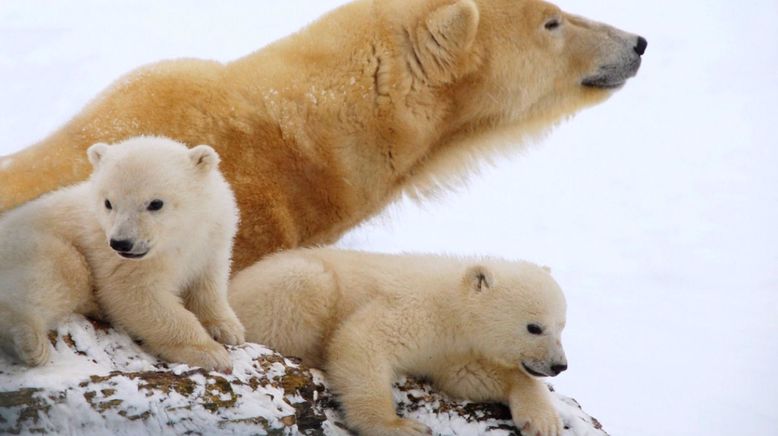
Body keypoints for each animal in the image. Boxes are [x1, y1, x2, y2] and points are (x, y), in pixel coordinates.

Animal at [0, 137, 242, 372]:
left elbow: (208, 284)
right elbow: (137, 296)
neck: (174, 240)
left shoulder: (211, 239)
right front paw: (210, 353)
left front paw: (228, 328)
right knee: (61, 271)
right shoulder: (115, 259)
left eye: (156, 203)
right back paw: (29, 341)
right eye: (109, 203)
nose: (121, 243)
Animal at [227, 249, 568, 436]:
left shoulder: (452, 351)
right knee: (305, 284)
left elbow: (469, 377)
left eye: (562, 325)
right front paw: (400, 426)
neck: (450, 308)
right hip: (285, 289)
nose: (560, 366)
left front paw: (543, 421)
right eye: (534, 327)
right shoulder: (413, 310)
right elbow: (362, 341)